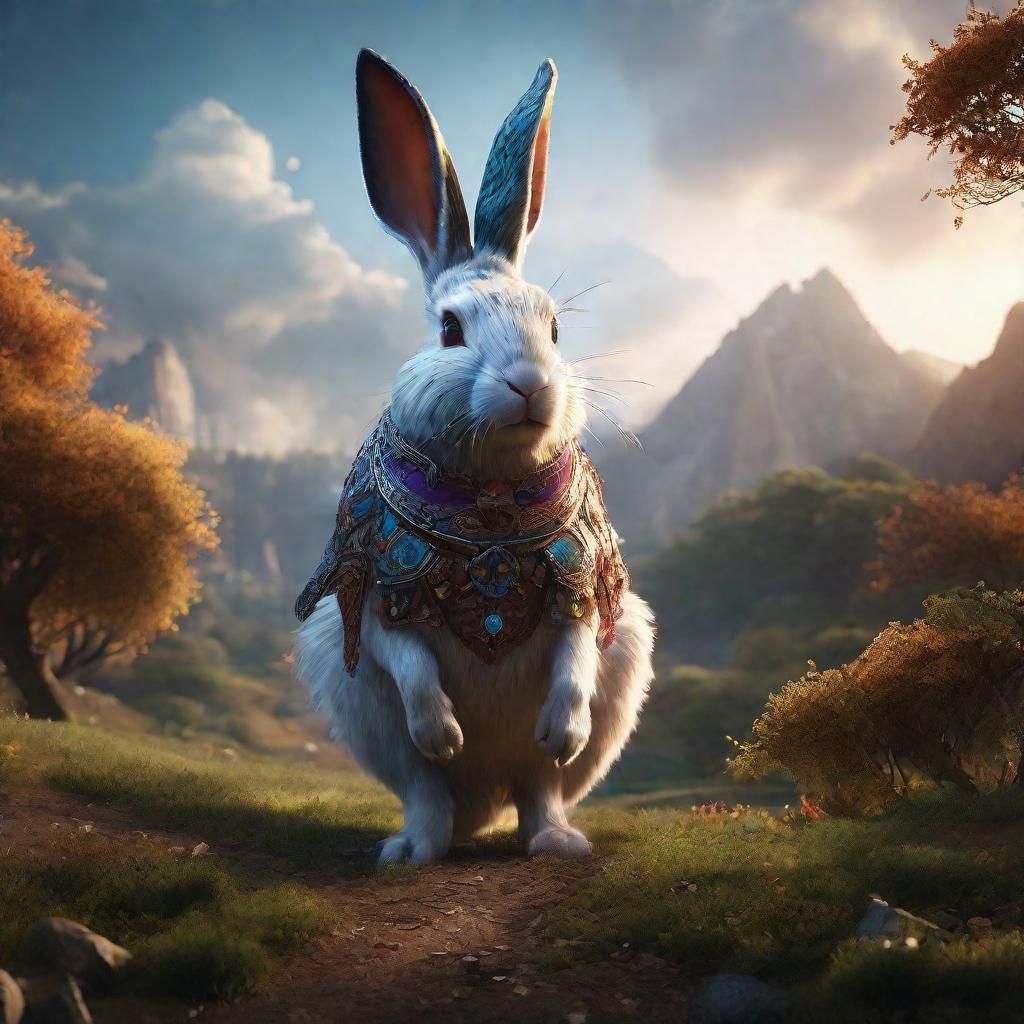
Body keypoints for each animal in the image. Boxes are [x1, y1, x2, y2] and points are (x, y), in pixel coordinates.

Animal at [294, 48, 655, 865]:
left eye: (554, 328)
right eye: (450, 329)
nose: (530, 383)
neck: (489, 502)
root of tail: (479, 807)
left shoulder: (580, 593)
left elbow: (575, 654)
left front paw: (563, 728)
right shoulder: (376, 601)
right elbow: (408, 659)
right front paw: (443, 730)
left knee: (541, 788)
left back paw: (557, 841)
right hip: (361, 706)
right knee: (425, 790)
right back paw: (413, 848)